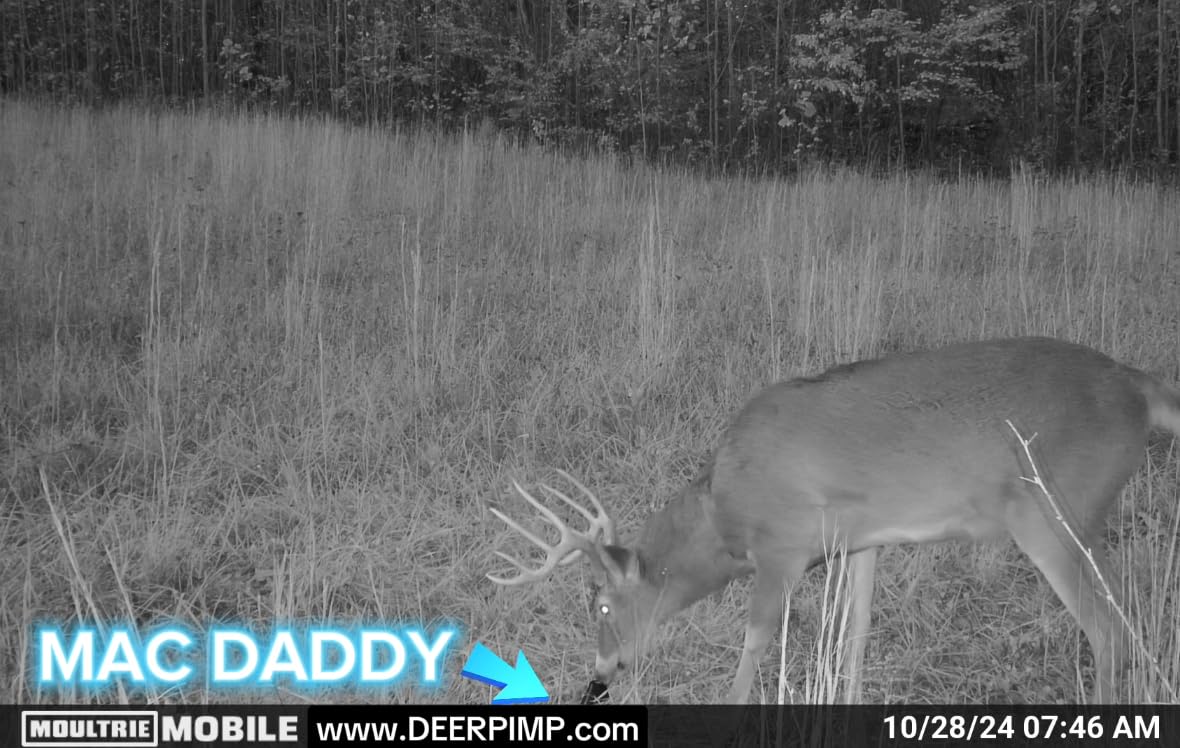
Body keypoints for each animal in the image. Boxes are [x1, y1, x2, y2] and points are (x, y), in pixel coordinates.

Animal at [488, 337, 1180, 703]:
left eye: (601, 604)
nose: (598, 679)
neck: (724, 512)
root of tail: (1141, 388)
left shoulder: (782, 549)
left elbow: (757, 639)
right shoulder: (862, 541)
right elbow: (855, 634)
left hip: (1052, 512)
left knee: (1108, 630)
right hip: (1085, 520)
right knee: (1134, 614)